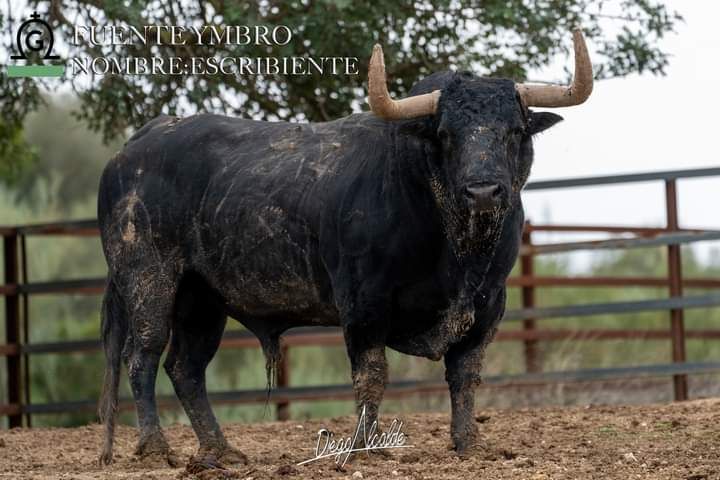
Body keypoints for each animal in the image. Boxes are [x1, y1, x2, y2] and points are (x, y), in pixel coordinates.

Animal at [97, 73, 568, 466]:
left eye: (515, 130)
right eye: (446, 134)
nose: (483, 191)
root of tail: (135, 146)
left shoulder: (488, 305)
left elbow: (465, 375)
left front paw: (469, 442)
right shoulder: (363, 303)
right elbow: (371, 375)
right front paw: (366, 446)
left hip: (201, 299)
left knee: (186, 368)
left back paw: (221, 449)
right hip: (148, 279)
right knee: (142, 356)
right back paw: (155, 448)